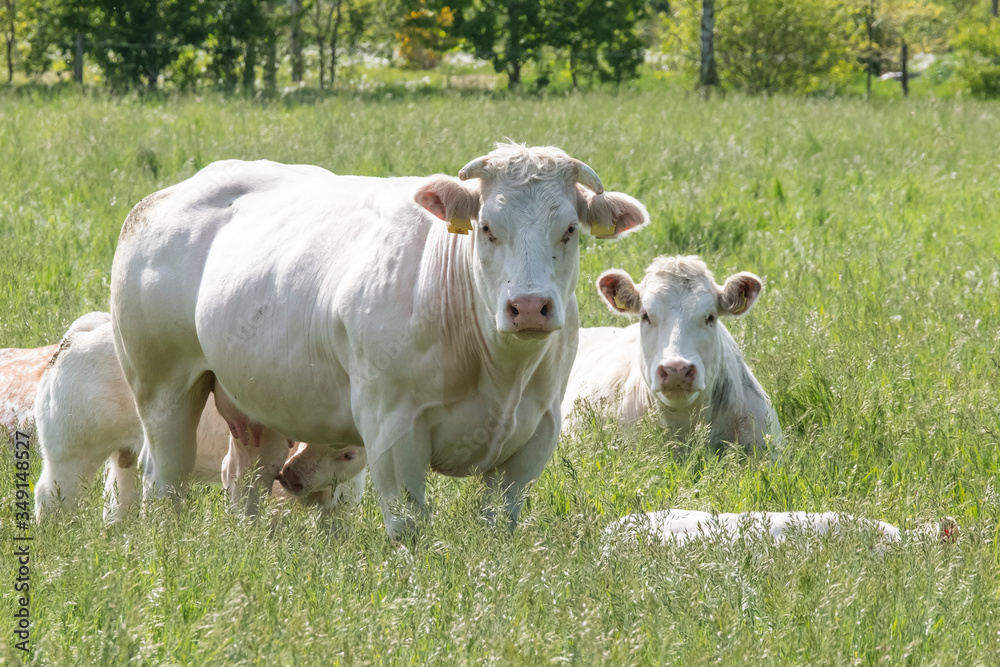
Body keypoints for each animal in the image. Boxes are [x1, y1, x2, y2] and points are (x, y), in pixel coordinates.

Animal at [34, 316, 368, 524]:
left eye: (347, 454)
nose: (290, 476)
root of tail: (76, 337)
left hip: (121, 457)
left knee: (117, 500)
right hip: (70, 453)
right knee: (50, 495)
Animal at [109, 142, 648, 536]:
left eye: (569, 229)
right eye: (487, 228)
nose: (530, 307)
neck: (498, 371)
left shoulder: (535, 436)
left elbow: (498, 524)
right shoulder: (392, 431)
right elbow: (409, 527)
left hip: (259, 403)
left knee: (244, 478)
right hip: (163, 387)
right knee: (165, 479)